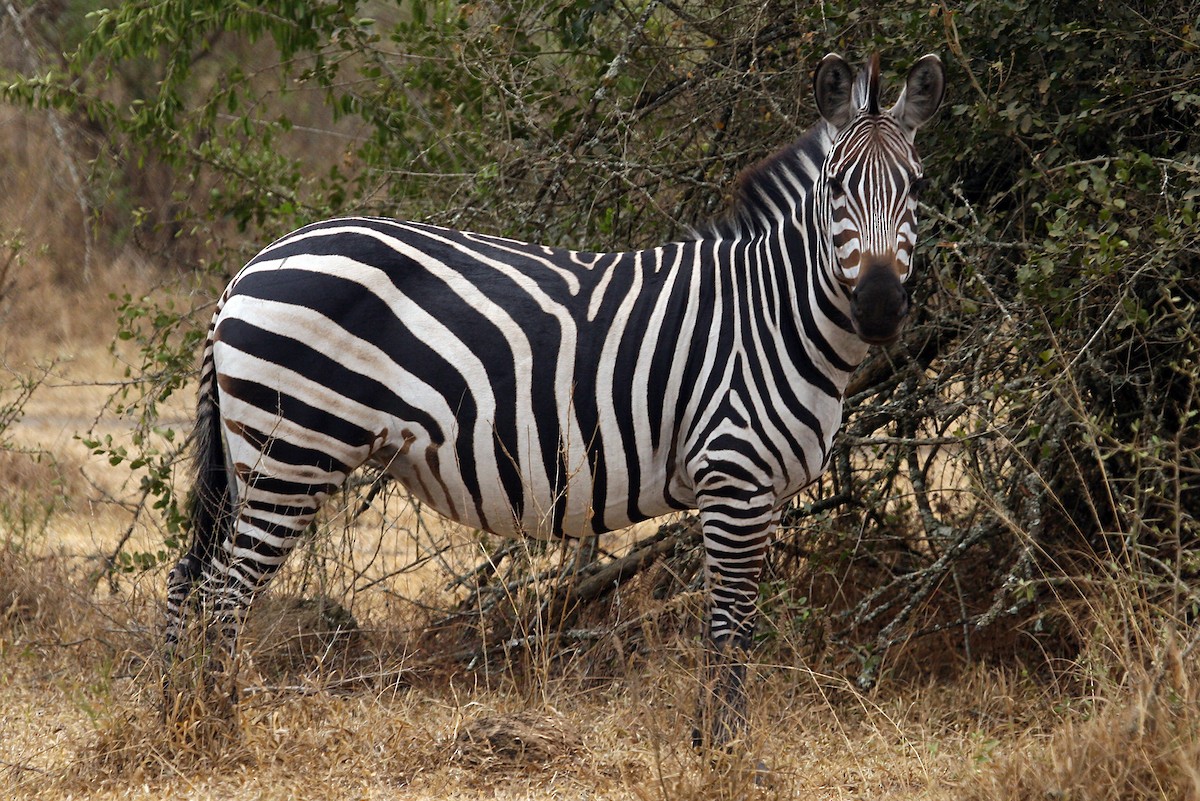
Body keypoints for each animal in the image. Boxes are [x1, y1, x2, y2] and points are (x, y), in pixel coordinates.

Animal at [165, 52, 945, 748]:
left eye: (916, 186)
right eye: (837, 186)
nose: (881, 307)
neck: (774, 315)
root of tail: (247, 270)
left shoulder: (766, 490)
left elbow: (738, 621)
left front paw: (711, 738)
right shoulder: (734, 475)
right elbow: (729, 623)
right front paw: (723, 752)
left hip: (252, 454)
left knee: (187, 577)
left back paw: (180, 722)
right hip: (294, 451)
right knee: (226, 592)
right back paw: (221, 731)